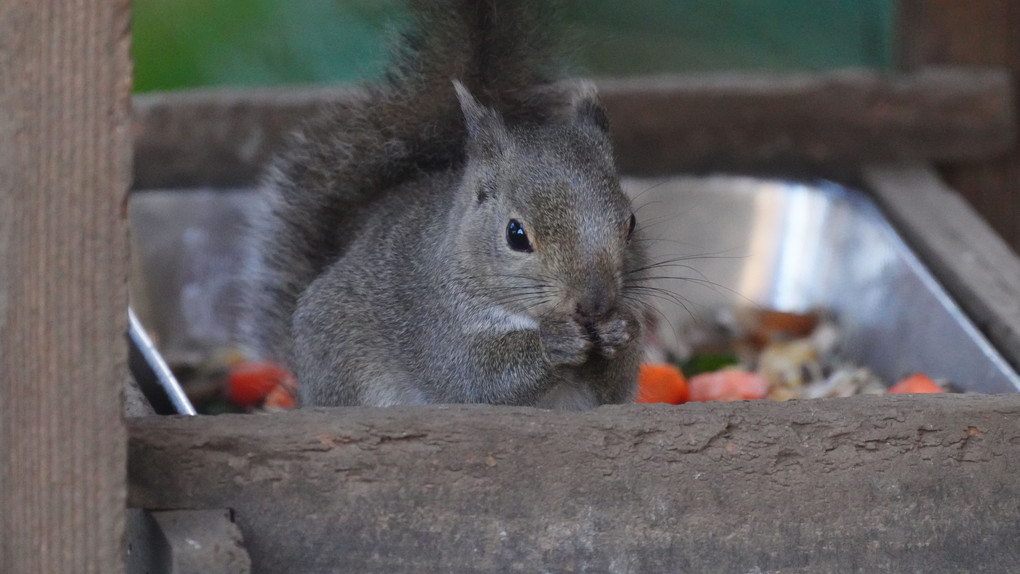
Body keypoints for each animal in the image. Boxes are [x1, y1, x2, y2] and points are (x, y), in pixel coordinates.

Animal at [236, 2, 652, 411]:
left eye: (631, 223)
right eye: (516, 235)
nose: (595, 304)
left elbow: (612, 389)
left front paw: (620, 331)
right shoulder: (436, 325)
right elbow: (477, 378)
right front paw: (556, 342)